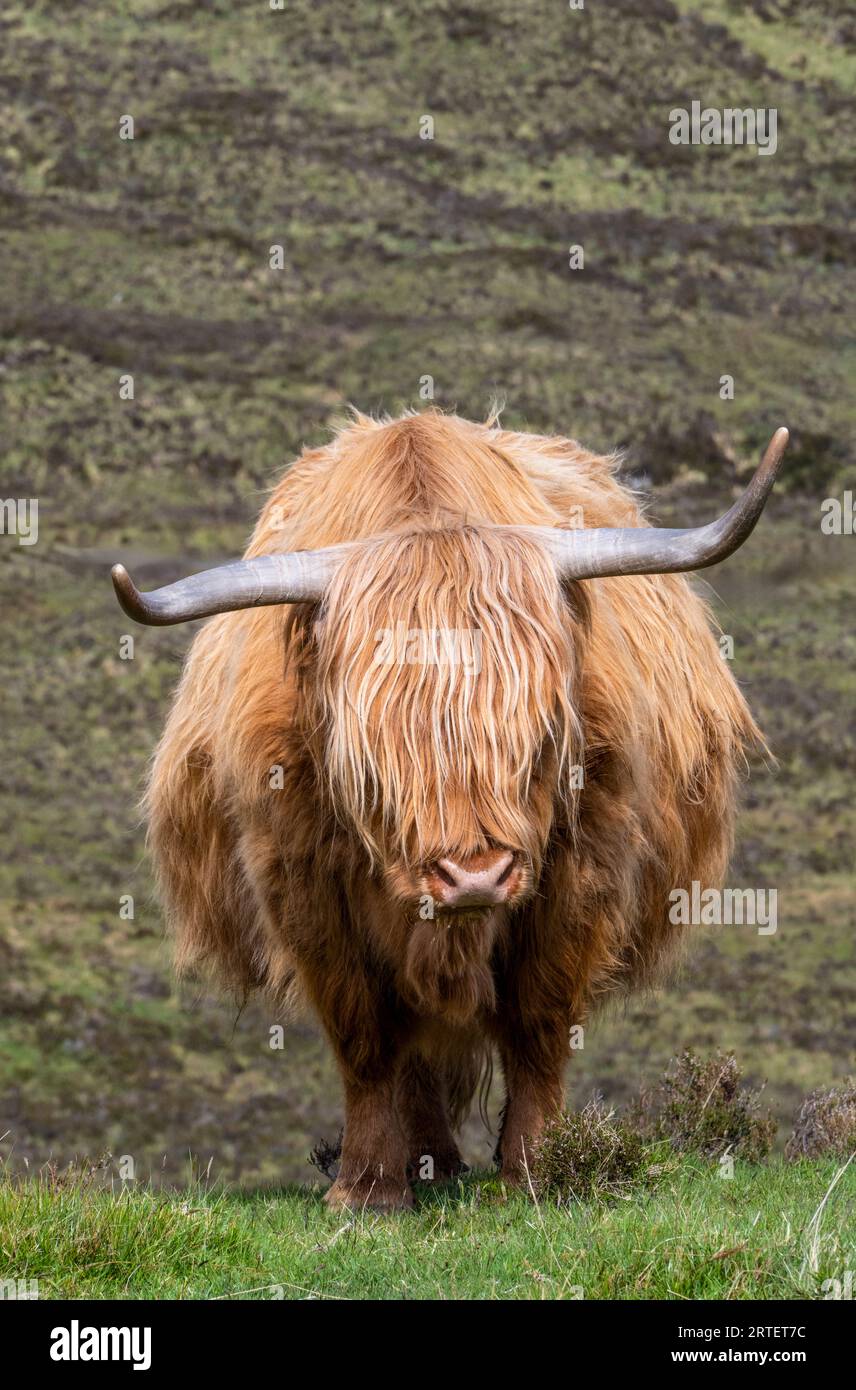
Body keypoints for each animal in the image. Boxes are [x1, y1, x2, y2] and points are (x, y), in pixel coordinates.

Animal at [113, 408, 789, 1206]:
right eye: (374, 759)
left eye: (542, 736)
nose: (474, 878)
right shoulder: (300, 882)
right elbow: (365, 1033)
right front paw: (367, 1189)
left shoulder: (583, 868)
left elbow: (539, 1019)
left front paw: (536, 1170)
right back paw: (428, 1158)